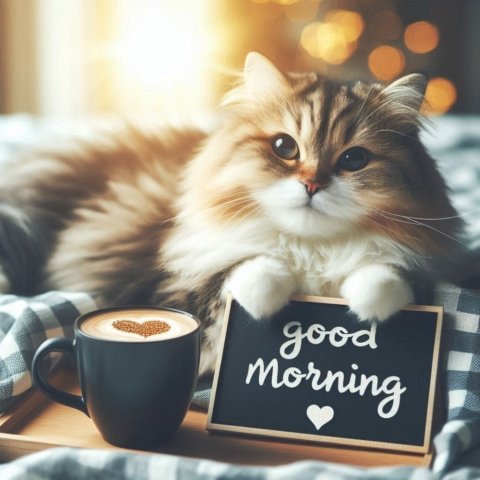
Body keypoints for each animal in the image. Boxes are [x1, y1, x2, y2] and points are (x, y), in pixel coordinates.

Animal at [0, 53, 468, 376]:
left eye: (354, 160)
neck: (309, 252)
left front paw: (368, 307)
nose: (312, 185)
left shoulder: (417, 263)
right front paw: (267, 298)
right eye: (284, 148)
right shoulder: (169, 288)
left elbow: (389, 277)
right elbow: (241, 272)